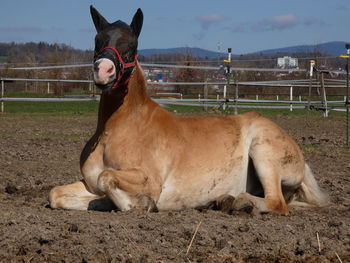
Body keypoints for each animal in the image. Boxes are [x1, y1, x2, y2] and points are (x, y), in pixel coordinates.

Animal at [48, 6, 328, 216]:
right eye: (98, 41)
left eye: (132, 44)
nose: (103, 71)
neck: (114, 131)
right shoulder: (89, 185)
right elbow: (56, 194)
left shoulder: (149, 179)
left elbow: (109, 178)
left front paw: (141, 204)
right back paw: (224, 200)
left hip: (263, 152)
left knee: (276, 203)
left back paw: (236, 201)